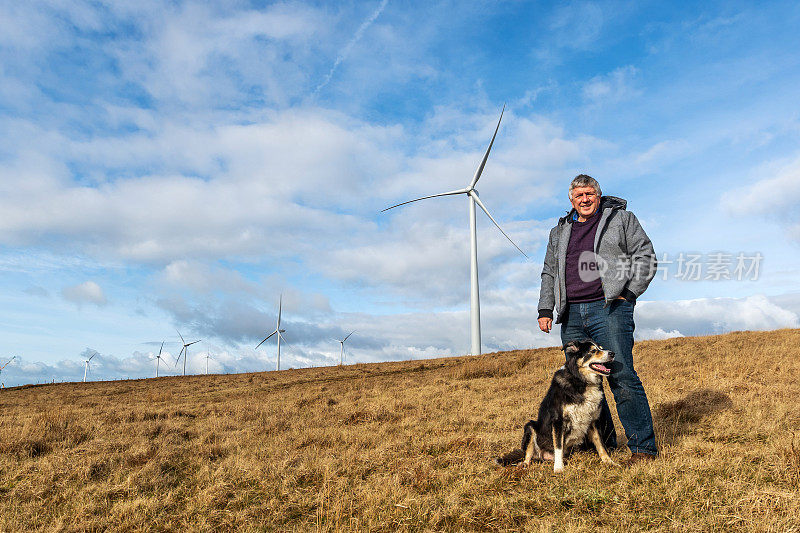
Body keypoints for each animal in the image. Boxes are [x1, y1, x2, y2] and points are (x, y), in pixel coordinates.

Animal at [494, 338, 620, 472]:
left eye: (601, 348)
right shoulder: (558, 421)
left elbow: (601, 444)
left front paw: (609, 462)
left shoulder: (593, 420)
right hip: (530, 427)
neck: (580, 380)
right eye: (593, 351)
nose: (612, 353)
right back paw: (524, 465)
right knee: (528, 453)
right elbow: (558, 446)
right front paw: (559, 468)